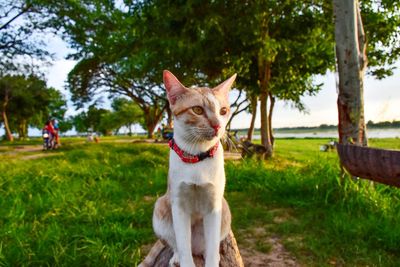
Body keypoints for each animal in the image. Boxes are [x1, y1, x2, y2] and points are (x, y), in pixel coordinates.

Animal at [152, 70, 236, 267]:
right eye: (197, 110)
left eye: (223, 111)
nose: (218, 125)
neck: (197, 157)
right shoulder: (179, 206)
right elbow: (183, 248)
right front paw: (183, 259)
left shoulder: (214, 206)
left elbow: (212, 249)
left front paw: (213, 259)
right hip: (160, 207)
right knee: (177, 245)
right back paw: (176, 258)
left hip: (225, 210)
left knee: (207, 247)